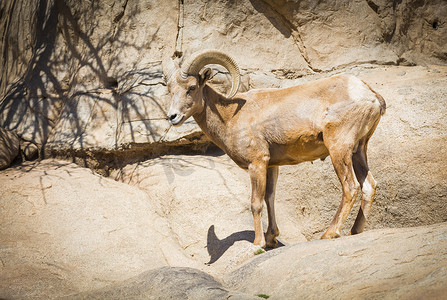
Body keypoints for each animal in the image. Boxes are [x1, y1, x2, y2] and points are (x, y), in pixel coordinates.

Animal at [163, 49, 386, 248]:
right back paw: (354, 232)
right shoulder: (271, 166)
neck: (231, 117)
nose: (172, 117)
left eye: (192, 87)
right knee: (369, 186)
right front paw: (271, 239)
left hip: (339, 149)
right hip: (358, 150)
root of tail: (371, 96)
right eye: (170, 90)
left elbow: (255, 203)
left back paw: (330, 233)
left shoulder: (257, 164)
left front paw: (259, 243)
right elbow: (270, 198)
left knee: (351, 187)